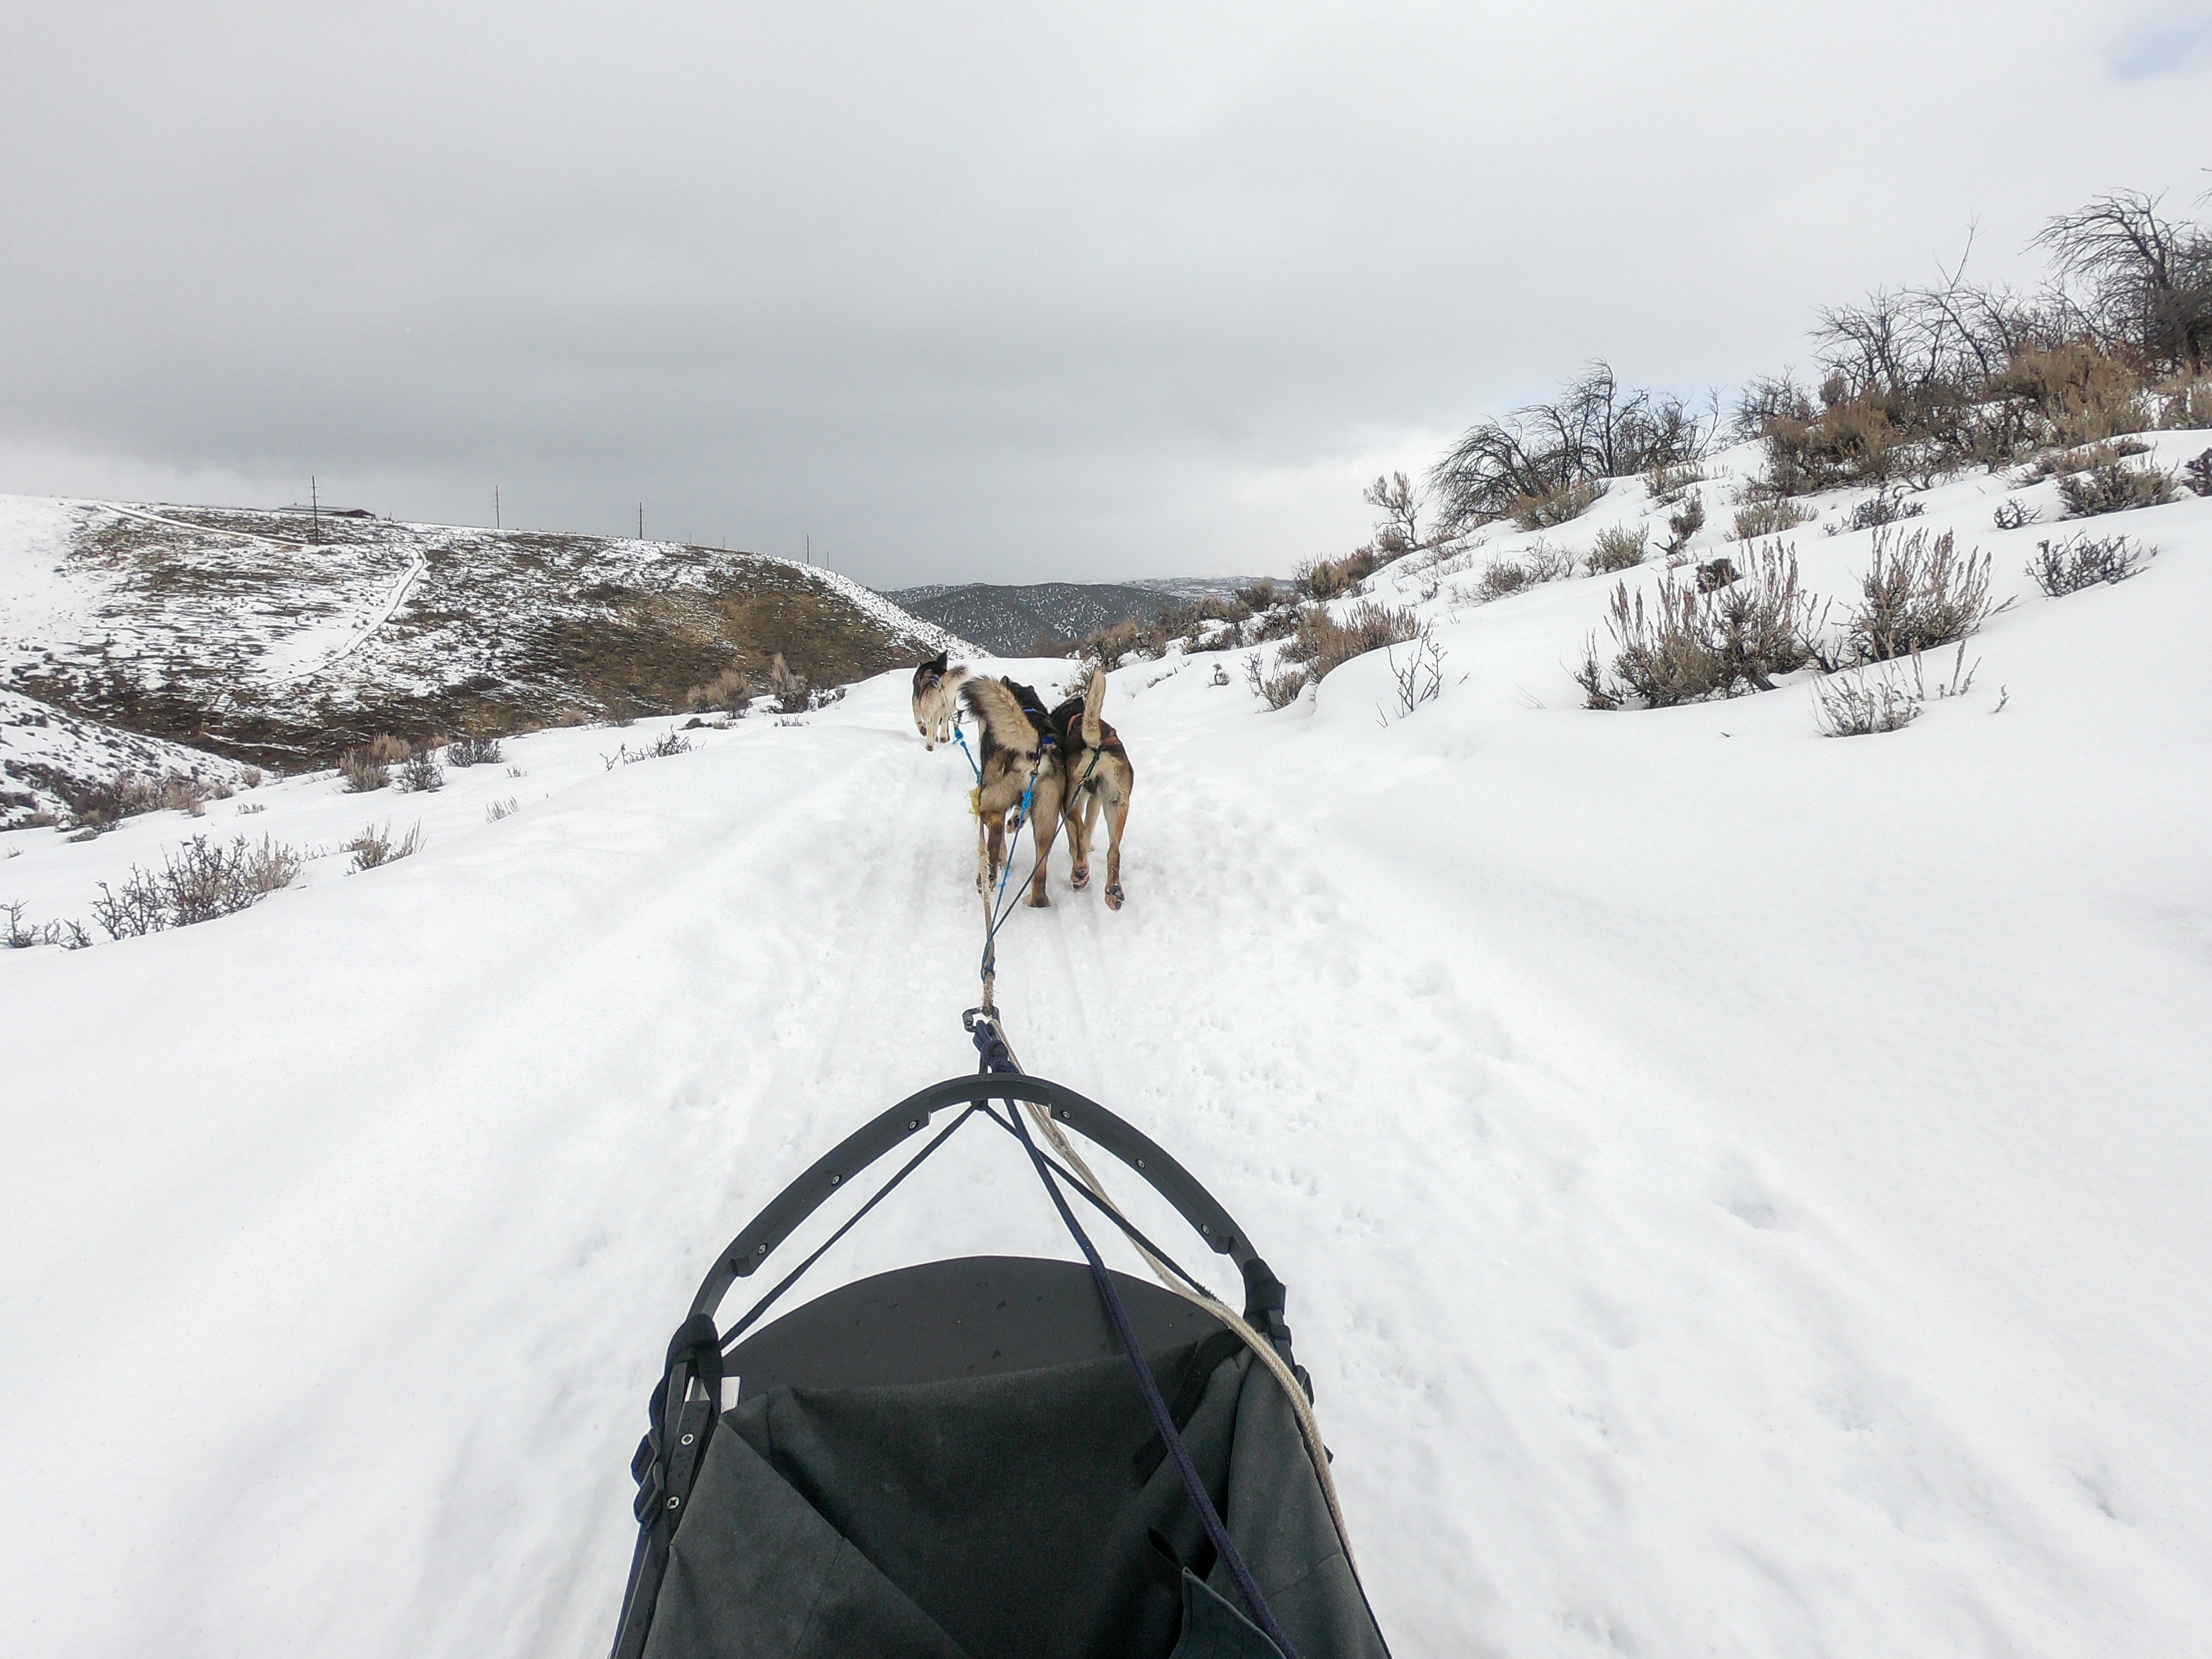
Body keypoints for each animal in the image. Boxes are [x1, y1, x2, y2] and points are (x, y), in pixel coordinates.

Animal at [907, 655, 969, 752]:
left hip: (928, 706)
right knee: (942, 722)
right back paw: (942, 737)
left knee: (930, 725)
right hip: (947, 706)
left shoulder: (916, 701)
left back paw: (930, 744)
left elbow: (918, 720)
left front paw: (923, 730)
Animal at [960, 677, 1062, 911]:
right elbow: (1019, 813)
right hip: (1047, 818)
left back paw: (987, 878)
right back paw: (1037, 900)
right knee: (1041, 864)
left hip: (991, 800)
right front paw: (1016, 821)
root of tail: (1036, 751)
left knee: (996, 829)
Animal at [1044, 668, 1133, 916]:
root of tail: (1097, 744)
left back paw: (1080, 871)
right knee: (1114, 851)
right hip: (1115, 803)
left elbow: (1076, 835)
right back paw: (1113, 891)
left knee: (1081, 832)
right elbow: (1091, 825)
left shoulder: (1074, 801)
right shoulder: (1096, 798)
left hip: (1072, 800)